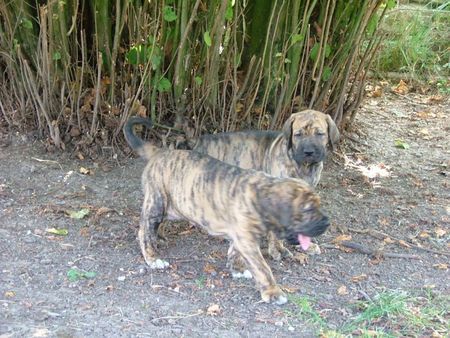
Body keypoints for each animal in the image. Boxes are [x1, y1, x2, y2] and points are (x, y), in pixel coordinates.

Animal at [125, 117, 328, 304]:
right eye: (308, 210)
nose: (326, 222)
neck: (262, 195)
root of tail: (161, 152)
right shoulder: (247, 240)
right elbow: (262, 268)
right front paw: (272, 292)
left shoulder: (240, 236)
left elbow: (234, 252)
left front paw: (236, 269)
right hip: (157, 202)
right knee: (144, 230)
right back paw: (153, 258)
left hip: (173, 205)